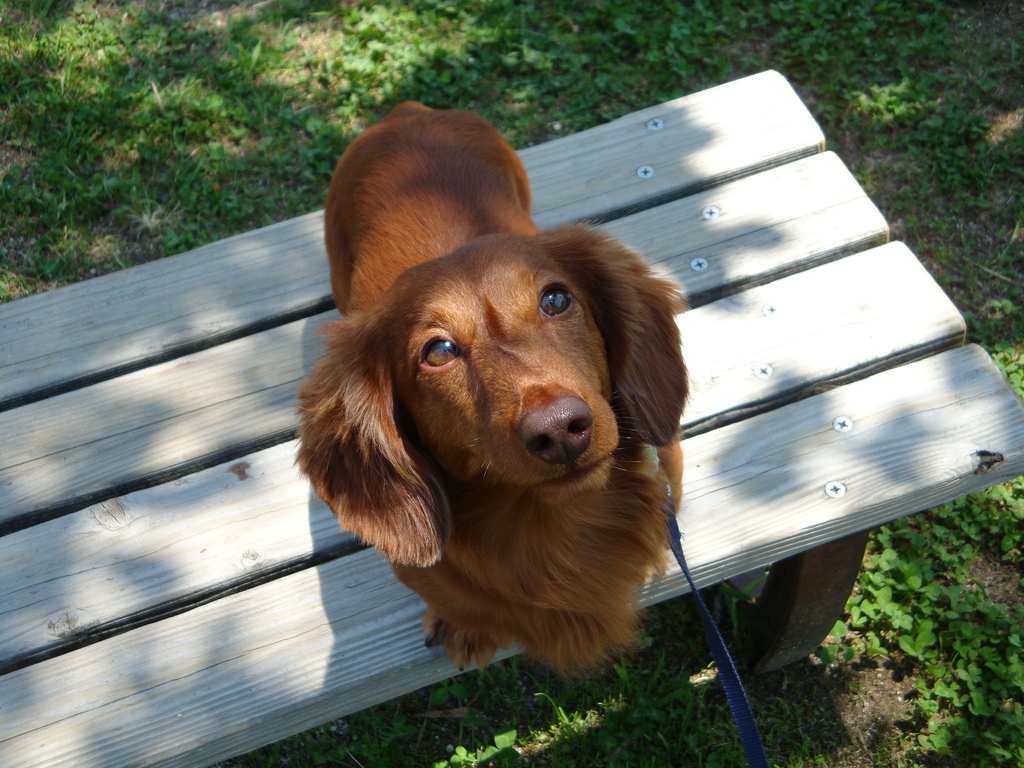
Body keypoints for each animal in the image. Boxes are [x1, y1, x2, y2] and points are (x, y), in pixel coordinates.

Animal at [296, 100, 688, 671]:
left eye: (555, 300)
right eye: (438, 352)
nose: (560, 430)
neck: (551, 529)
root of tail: (408, 111)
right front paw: (462, 627)